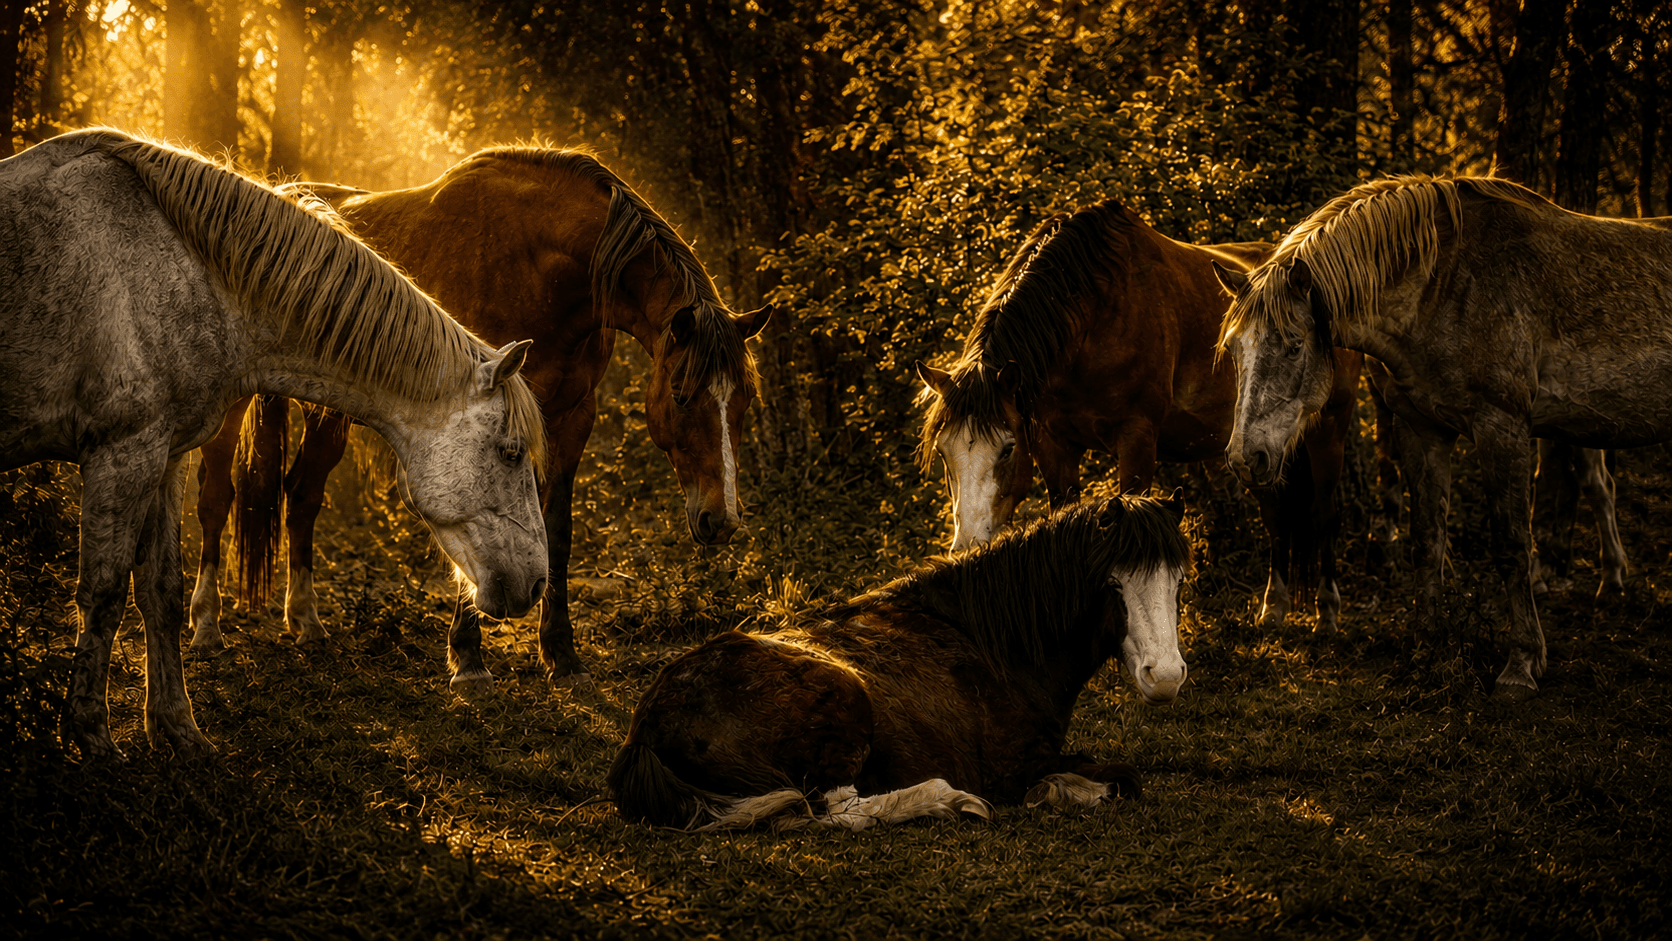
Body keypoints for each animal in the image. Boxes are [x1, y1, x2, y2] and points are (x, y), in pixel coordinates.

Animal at [0, 128, 548, 757]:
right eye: (511, 453)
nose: (537, 583)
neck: (185, 271)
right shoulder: (121, 455)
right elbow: (104, 591)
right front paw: (91, 736)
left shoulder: (165, 456)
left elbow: (160, 591)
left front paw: (179, 729)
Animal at [187, 147, 771, 691]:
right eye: (682, 395)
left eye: (744, 401)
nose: (721, 519)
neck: (542, 266)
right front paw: (468, 658)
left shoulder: (571, 419)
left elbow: (556, 532)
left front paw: (562, 654)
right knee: (217, 498)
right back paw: (206, 626)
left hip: (329, 414)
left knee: (303, 494)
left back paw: (306, 622)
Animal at [608, 494, 1191, 830]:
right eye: (1113, 584)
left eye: (1179, 579)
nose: (1164, 678)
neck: (990, 642)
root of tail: (647, 727)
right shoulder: (1016, 765)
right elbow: (1124, 777)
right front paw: (1068, 790)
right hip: (843, 712)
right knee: (841, 811)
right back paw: (949, 801)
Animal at [915, 200, 1361, 630]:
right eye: (943, 454)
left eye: (1007, 448)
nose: (966, 548)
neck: (1094, 315)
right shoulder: (1053, 444)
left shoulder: (1136, 439)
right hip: (1258, 453)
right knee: (1276, 514)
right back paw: (1274, 609)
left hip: (1328, 430)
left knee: (1323, 513)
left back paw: (1327, 612)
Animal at [1215, 174, 1672, 700]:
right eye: (1233, 348)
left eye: (1292, 346)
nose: (1246, 457)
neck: (1447, 285)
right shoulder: (1422, 430)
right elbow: (1427, 541)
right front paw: (1426, 648)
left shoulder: (1502, 428)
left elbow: (1512, 545)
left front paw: (1521, 666)